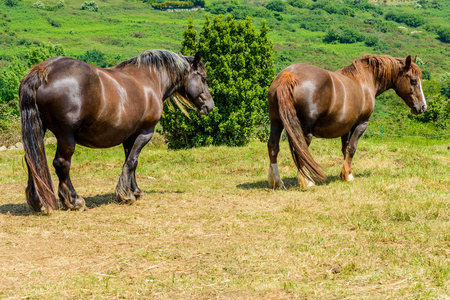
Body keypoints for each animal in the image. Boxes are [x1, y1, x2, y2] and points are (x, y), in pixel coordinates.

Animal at [18, 49, 213, 212]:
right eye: (203, 78)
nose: (210, 106)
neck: (150, 79)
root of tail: (44, 70)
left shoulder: (130, 136)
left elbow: (130, 162)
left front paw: (134, 190)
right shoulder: (145, 133)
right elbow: (132, 162)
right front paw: (126, 195)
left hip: (38, 130)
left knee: (32, 160)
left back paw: (38, 202)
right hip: (66, 137)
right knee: (61, 164)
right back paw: (74, 201)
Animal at [268, 55, 428, 189]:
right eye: (413, 80)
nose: (423, 107)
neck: (364, 80)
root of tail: (288, 75)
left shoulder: (344, 128)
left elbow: (345, 150)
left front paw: (345, 173)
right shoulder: (361, 124)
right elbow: (352, 148)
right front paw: (348, 176)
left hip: (276, 122)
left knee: (273, 146)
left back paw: (276, 181)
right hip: (304, 129)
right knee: (301, 149)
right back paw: (307, 181)